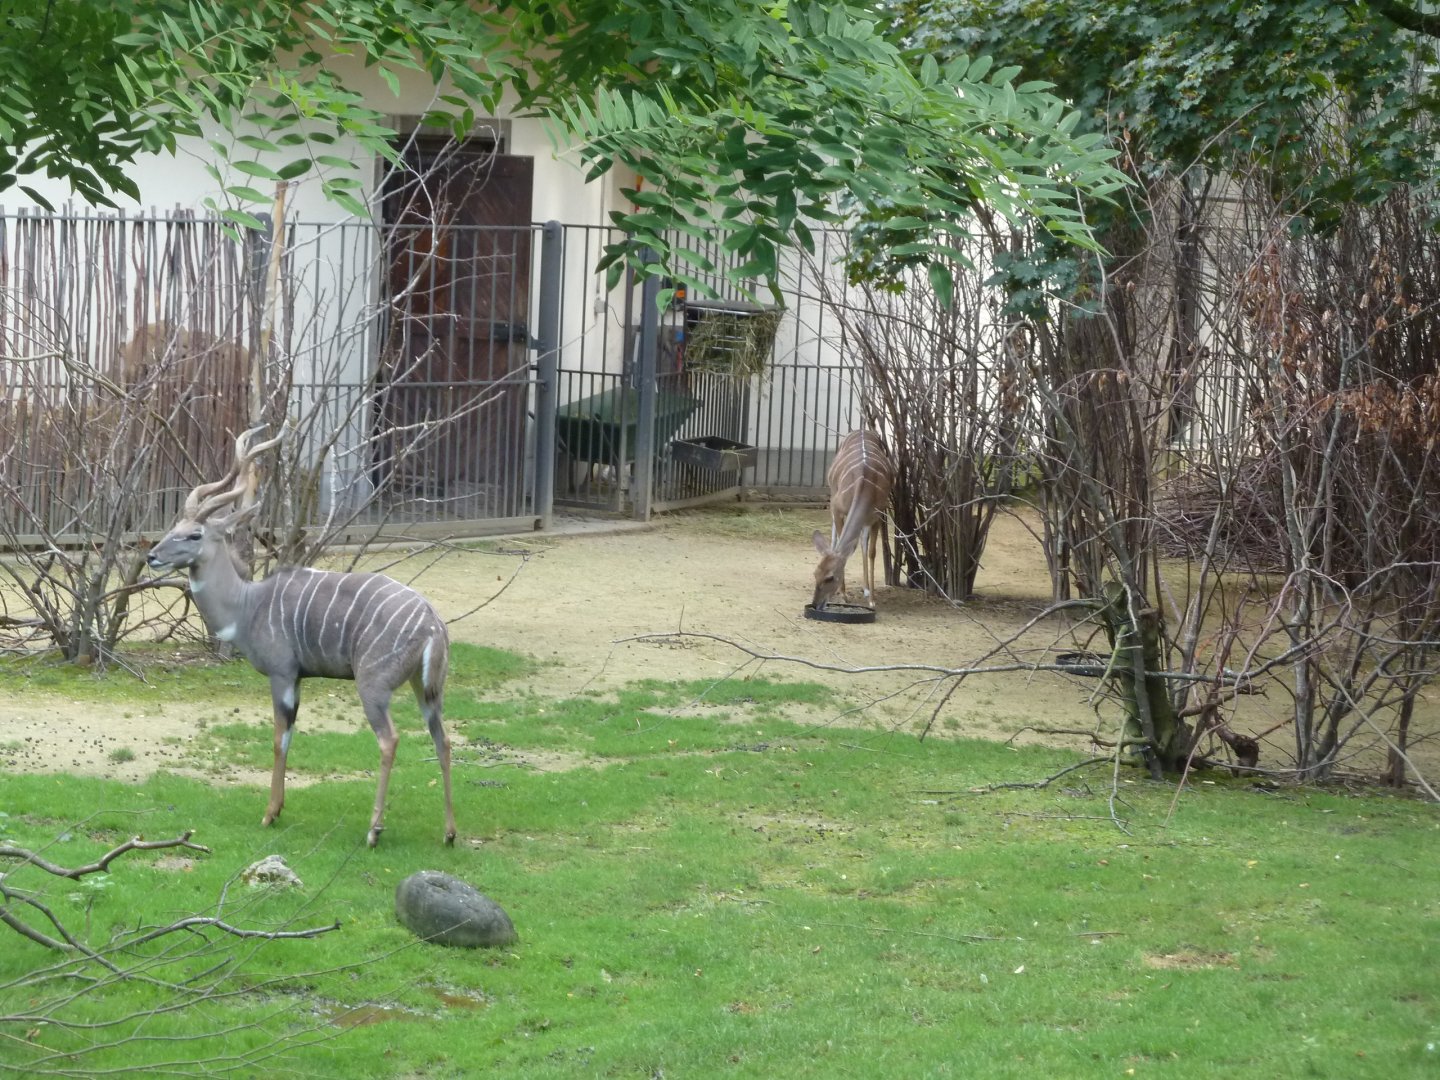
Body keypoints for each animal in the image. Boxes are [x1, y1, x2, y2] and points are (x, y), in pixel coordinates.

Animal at [146, 428, 456, 848]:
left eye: (194, 534)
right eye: (173, 527)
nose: (152, 556)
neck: (247, 605)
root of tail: (432, 623)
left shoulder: (282, 674)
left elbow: (280, 739)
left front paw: (269, 814)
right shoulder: (298, 678)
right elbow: (290, 735)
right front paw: (277, 809)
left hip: (373, 684)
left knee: (389, 739)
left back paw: (373, 831)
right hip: (426, 689)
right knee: (443, 740)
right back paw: (450, 833)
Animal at [812, 429, 897, 610]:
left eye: (829, 577)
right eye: (815, 573)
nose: (815, 605)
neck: (864, 487)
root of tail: (862, 430)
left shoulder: (878, 515)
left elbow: (872, 552)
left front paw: (871, 599)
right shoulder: (837, 509)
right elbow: (839, 543)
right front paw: (844, 595)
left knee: (862, 542)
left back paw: (865, 589)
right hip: (833, 495)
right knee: (835, 538)